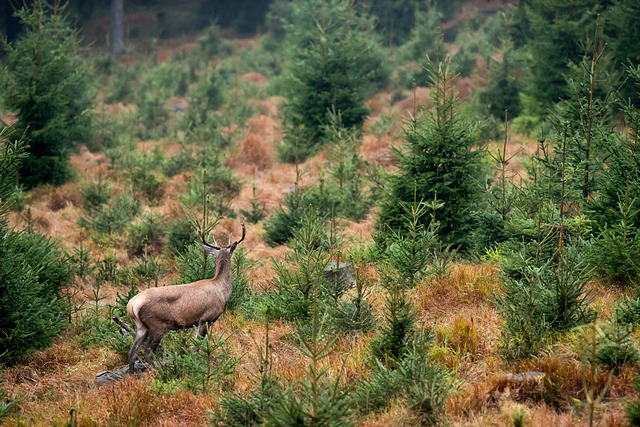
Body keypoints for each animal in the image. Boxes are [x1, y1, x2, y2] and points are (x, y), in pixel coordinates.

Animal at [125, 222, 245, 376]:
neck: (222, 290)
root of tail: (132, 305)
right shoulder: (206, 318)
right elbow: (197, 346)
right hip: (157, 326)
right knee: (148, 351)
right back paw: (162, 369)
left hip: (140, 327)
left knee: (132, 351)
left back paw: (132, 375)